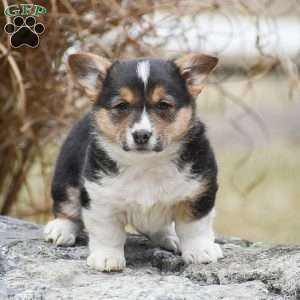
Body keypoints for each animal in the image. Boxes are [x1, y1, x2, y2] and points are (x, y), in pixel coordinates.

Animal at [44, 51, 223, 272]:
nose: (141, 135)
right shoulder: (100, 198)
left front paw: (200, 251)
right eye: (122, 106)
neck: (146, 163)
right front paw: (107, 258)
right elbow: (107, 233)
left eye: (163, 105)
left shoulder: (198, 192)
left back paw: (170, 237)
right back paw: (60, 229)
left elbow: (194, 227)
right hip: (66, 177)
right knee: (67, 207)